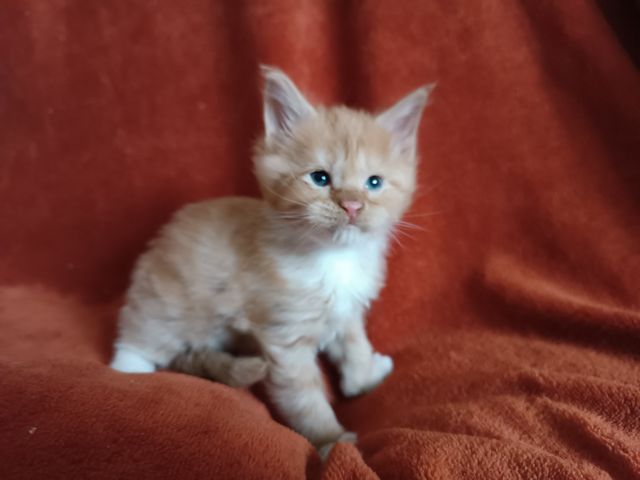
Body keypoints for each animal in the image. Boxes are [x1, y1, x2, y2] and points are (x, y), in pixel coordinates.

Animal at [110, 65, 433, 455]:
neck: (333, 259)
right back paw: (128, 372)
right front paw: (332, 441)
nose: (352, 205)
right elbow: (306, 400)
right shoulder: (285, 339)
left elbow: (355, 345)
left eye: (374, 183)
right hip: (165, 302)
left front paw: (366, 376)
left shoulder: (348, 311)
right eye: (320, 178)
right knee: (140, 337)